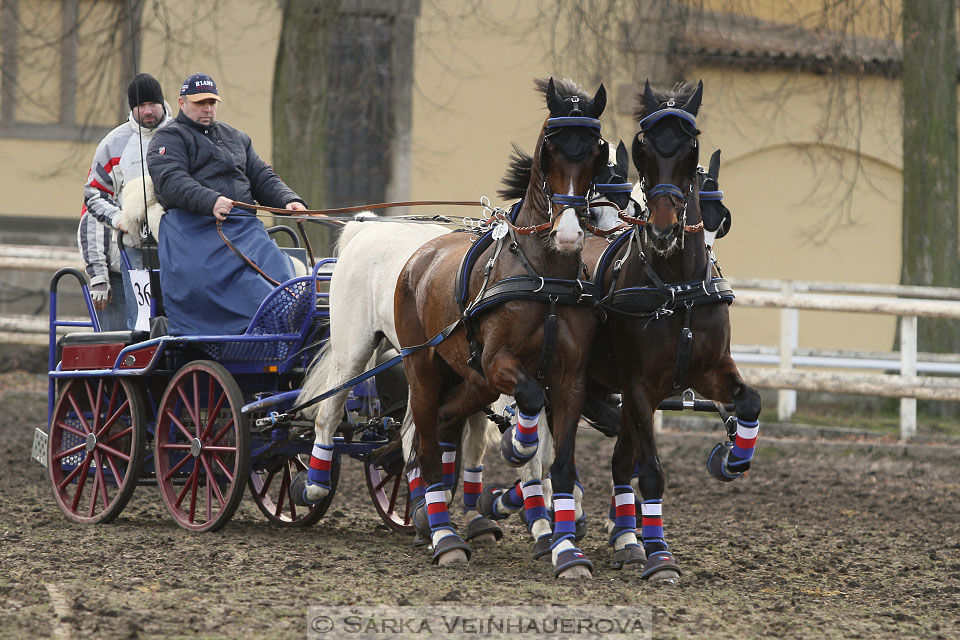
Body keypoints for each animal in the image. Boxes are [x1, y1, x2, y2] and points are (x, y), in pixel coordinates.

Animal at [392, 79, 604, 576]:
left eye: (596, 152)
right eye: (549, 148)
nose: (569, 234)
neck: (547, 278)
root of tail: (419, 258)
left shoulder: (571, 378)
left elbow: (562, 465)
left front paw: (568, 552)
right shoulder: (498, 361)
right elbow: (529, 398)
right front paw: (519, 446)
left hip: (472, 380)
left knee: (445, 423)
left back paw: (429, 519)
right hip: (424, 367)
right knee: (426, 444)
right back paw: (444, 536)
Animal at [580, 80, 760, 580]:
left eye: (689, 146)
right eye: (644, 148)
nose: (663, 230)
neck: (676, 286)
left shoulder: (708, 370)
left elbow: (750, 401)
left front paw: (734, 457)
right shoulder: (640, 385)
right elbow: (652, 471)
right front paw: (659, 555)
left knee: (620, 457)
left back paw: (625, 536)